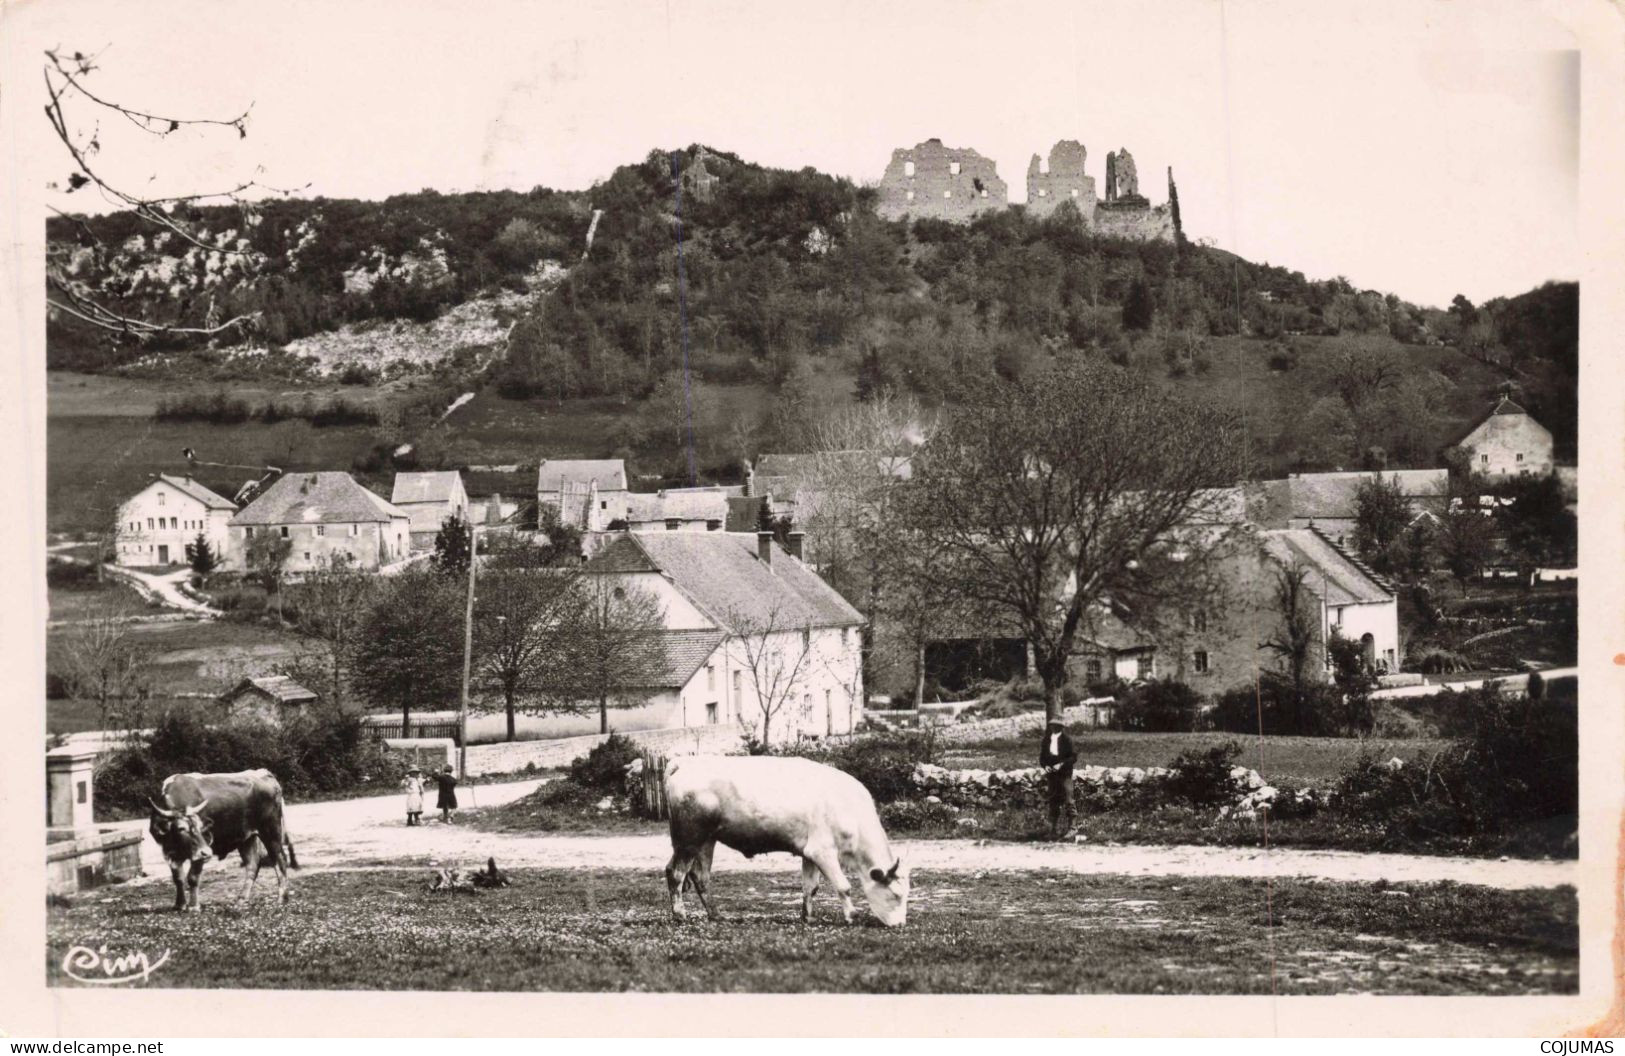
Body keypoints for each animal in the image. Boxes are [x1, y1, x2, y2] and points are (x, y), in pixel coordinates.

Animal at [663, 753, 916, 922]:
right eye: (895, 894)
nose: (900, 925)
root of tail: (685, 764)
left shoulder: (810, 853)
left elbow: (810, 887)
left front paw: (808, 917)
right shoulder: (823, 851)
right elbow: (844, 886)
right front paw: (852, 915)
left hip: (707, 840)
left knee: (700, 877)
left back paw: (716, 915)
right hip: (689, 838)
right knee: (676, 873)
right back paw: (680, 915)